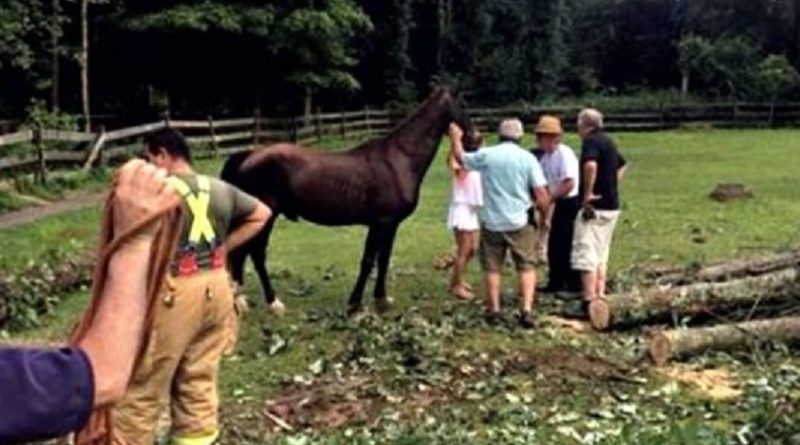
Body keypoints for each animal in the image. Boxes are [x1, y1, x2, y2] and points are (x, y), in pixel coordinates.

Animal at [222, 86, 472, 312]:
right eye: (462, 105)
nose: (474, 139)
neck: (398, 161)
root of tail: (248, 156)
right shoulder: (380, 223)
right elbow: (368, 261)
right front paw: (356, 303)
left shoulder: (390, 225)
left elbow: (383, 261)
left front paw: (381, 299)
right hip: (267, 215)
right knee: (255, 253)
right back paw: (272, 302)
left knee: (243, 253)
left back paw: (241, 301)